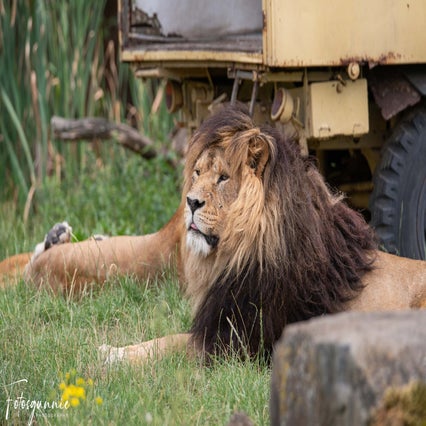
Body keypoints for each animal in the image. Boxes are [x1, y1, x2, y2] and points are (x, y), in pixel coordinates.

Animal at [0, 105, 426, 362]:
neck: (234, 254)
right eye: (198, 173)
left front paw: (111, 355)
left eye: (222, 178)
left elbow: (165, 345)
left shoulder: (232, 342)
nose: (190, 202)